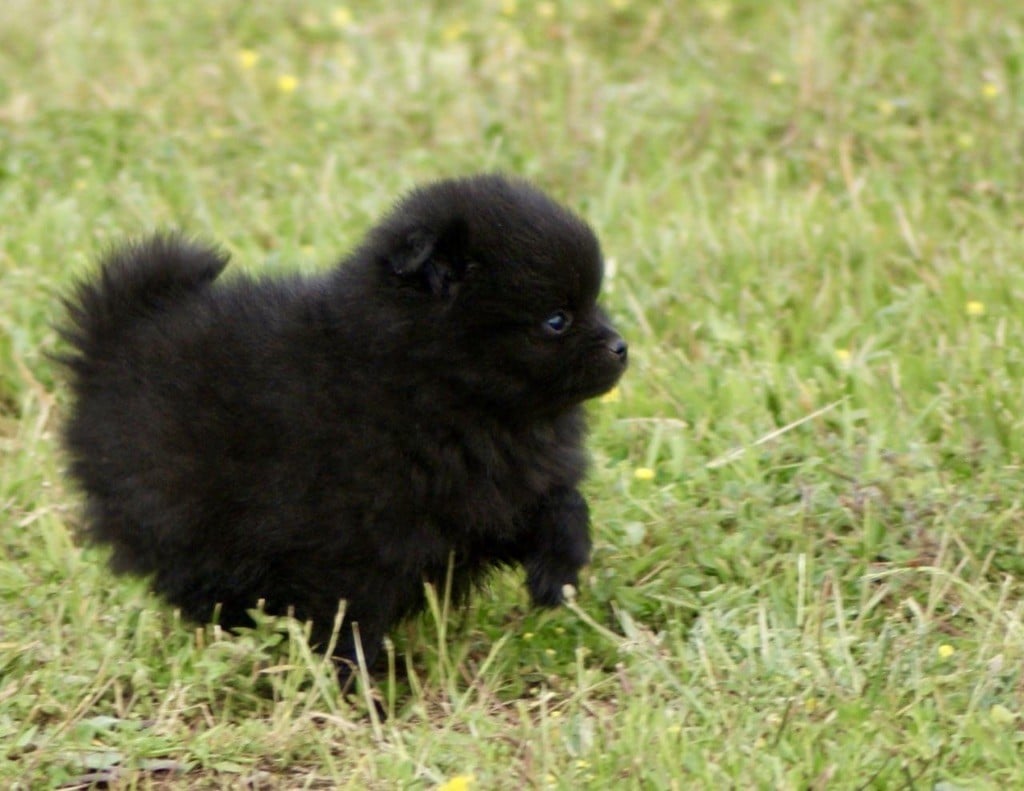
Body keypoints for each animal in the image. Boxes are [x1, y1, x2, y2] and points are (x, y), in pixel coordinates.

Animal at [61, 176, 622, 684]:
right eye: (556, 320)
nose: (621, 347)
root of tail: (111, 345)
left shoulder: (492, 499)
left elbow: (560, 504)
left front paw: (558, 574)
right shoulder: (351, 541)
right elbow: (349, 616)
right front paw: (361, 686)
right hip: (182, 520)